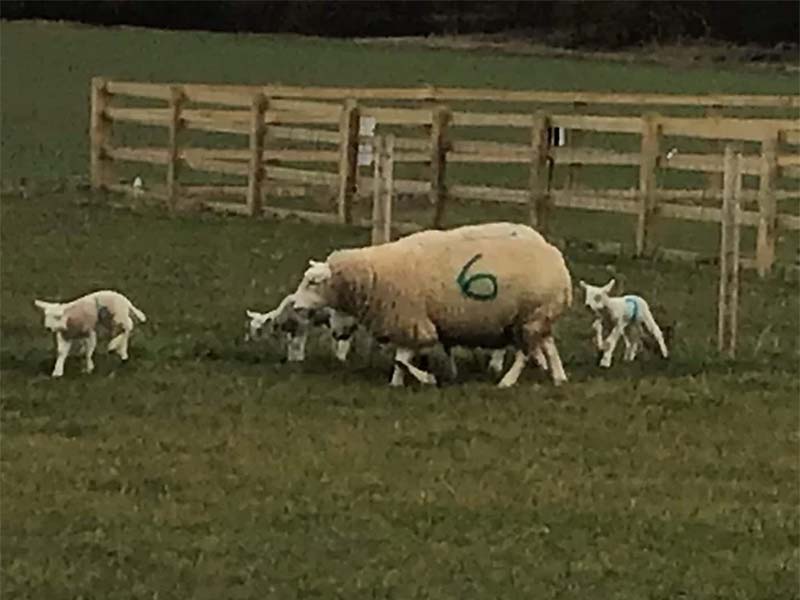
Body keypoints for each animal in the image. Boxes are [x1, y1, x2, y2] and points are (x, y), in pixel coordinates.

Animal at [291, 221, 572, 387]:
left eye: (312, 282)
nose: (295, 307)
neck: (377, 273)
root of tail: (557, 258)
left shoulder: (411, 319)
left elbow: (402, 359)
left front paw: (426, 378)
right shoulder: (410, 323)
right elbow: (402, 359)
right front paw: (399, 382)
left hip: (529, 315)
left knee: (525, 351)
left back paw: (508, 381)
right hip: (537, 316)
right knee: (547, 345)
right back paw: (558, 376)